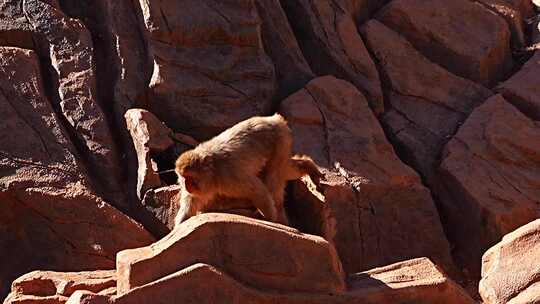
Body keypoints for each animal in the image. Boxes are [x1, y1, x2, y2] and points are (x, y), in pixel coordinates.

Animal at [175, 113, 322, 226]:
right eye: (184, 178)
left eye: (190, 178)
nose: (187, 186)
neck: (213, 171)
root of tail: (274, 118)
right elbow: (191, 204)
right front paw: (180, 224)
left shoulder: (229, 177)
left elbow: (258, 191)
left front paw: (270, 219)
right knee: (283, 170)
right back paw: (308, 166)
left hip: (281, 139)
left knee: (273, 176)